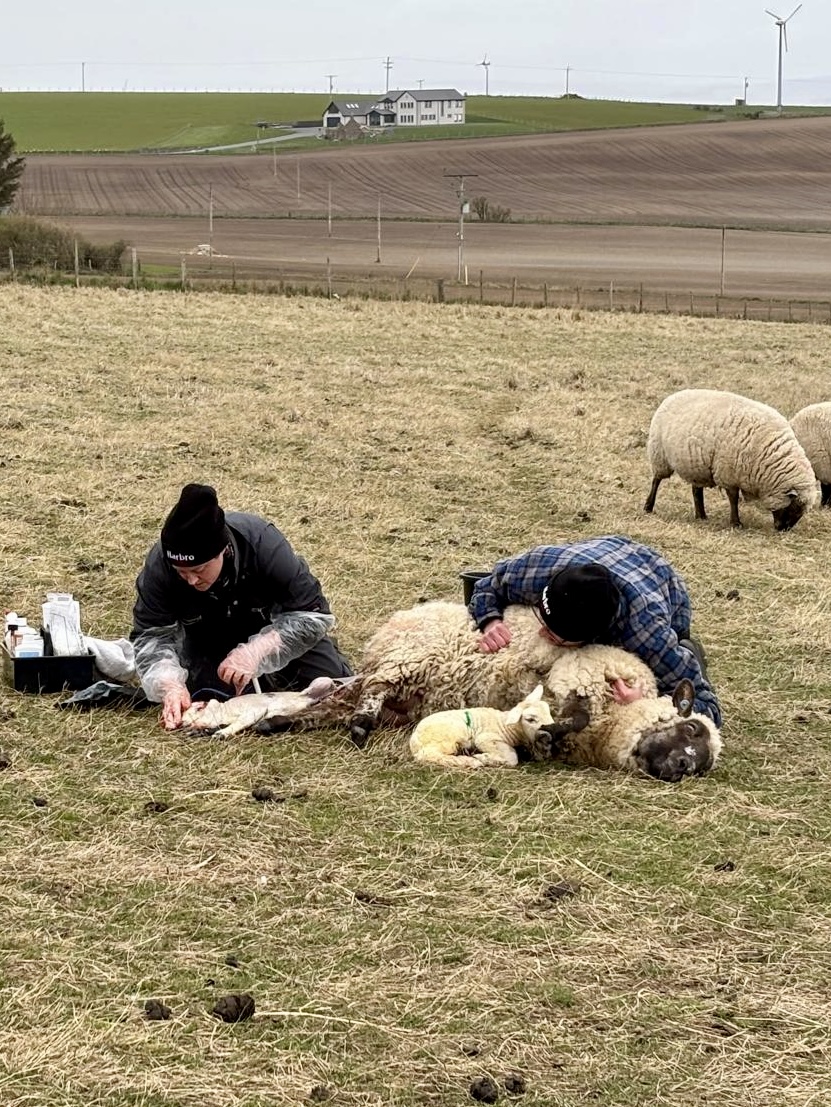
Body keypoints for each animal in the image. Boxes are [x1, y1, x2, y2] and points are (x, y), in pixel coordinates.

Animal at [408, 684, 557, 770]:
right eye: (530, 719)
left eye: (548, 712)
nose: (551, 733)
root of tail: (414, 738)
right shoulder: (485, 738)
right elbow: (512, 757)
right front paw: (484, 757)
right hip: (446, 738)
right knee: (428, 755)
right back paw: (468, 761)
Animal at [643, 388, 818, 530]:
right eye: (794, 507)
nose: (783, 529)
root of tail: (672, 396)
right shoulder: (728, 473)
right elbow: (733, 499)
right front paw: (736, 523)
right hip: (659, 454)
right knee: (656, 480)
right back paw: (648, 506)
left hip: (696, 465)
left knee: (696, 490)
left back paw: (701, 515)